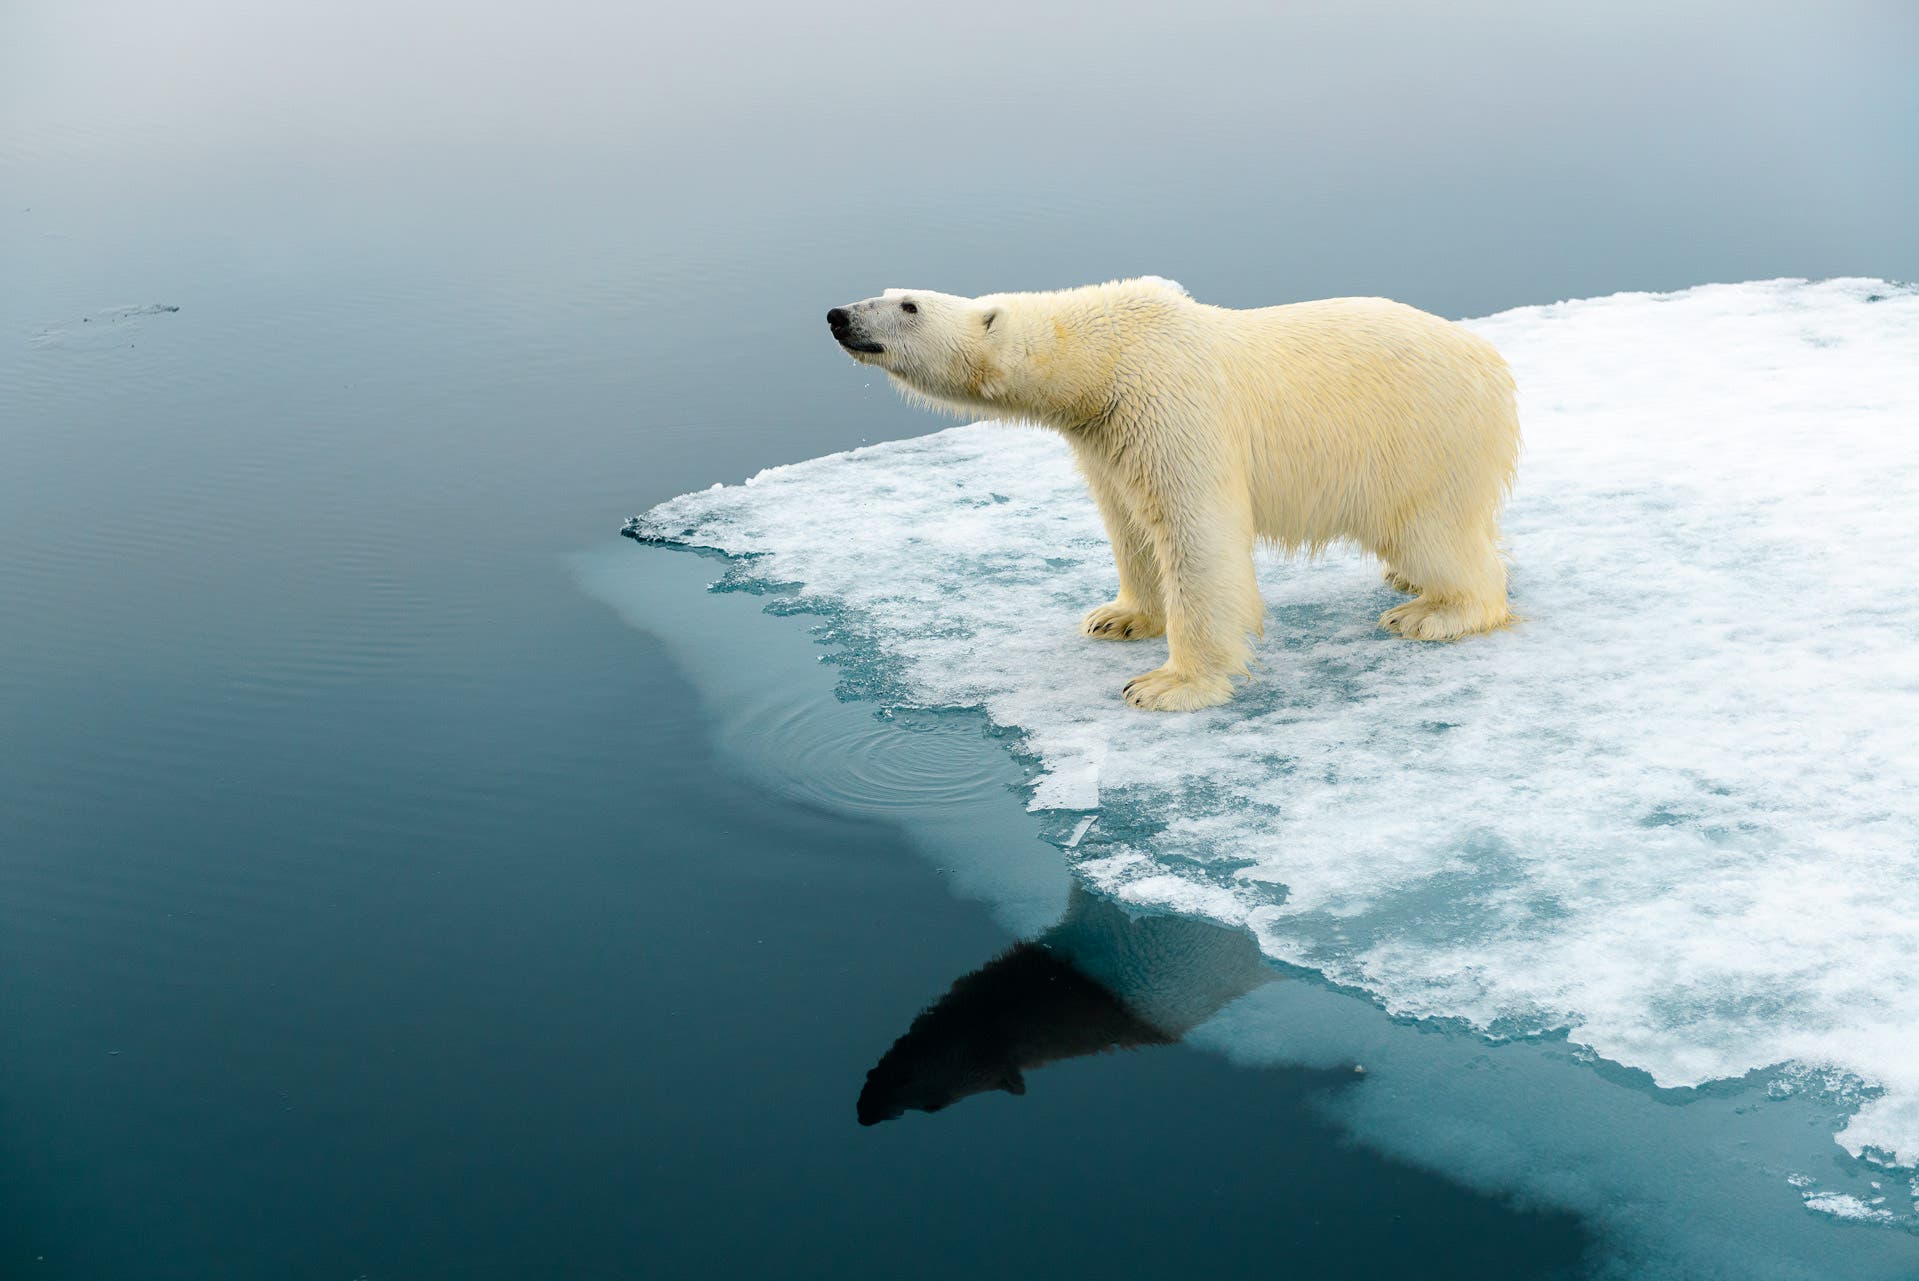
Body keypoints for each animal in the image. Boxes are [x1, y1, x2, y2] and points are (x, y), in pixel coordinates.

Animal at [826, 277, 1520, 711]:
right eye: (887, 292)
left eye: (908, 305)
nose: (838, 315)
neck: (1102, 356)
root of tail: (1493, 362)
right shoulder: (1108, 435)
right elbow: (1129, 524)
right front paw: (1119, 617)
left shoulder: (1172, 404)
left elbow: (1197, 533)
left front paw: (1167, 685)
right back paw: (1404, 580)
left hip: (1422, 439)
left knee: (1436, 534)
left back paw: (1432, 611)